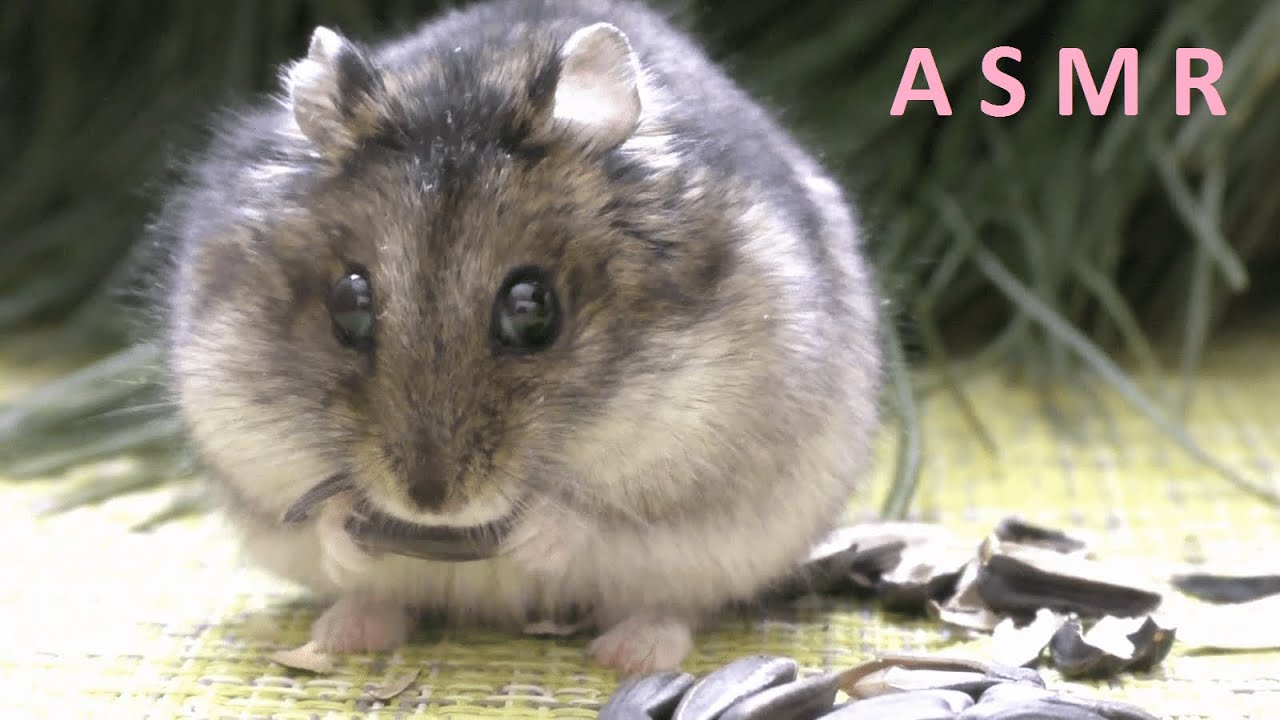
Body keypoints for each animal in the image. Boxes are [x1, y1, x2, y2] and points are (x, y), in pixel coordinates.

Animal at [150, 0, 884, 674]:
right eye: (348, 304)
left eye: (533, 309)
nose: (430, 504)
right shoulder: (248, 451)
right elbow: (316, 514)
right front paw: (345, 535)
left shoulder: (697, 462)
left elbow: (588, 515)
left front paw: (533, 537)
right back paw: (346, 632)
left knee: (669, 605)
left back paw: (632, 655)